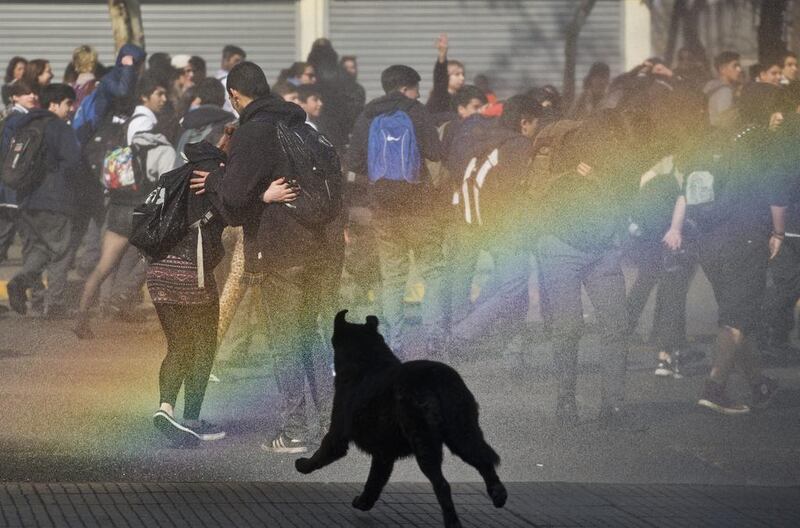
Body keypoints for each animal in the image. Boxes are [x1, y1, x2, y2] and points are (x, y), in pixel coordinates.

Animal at [294, 310, 506, 528]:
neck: (367, 360)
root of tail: (439, 380)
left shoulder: (338, 431)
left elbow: (323, 451)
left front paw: (303, 465)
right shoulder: (384, 453)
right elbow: (374, 481)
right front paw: (363, 502)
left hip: (424, 440)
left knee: (442, 484)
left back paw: (452, 521)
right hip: (462, 432)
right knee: (483, 461)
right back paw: (498, 495)